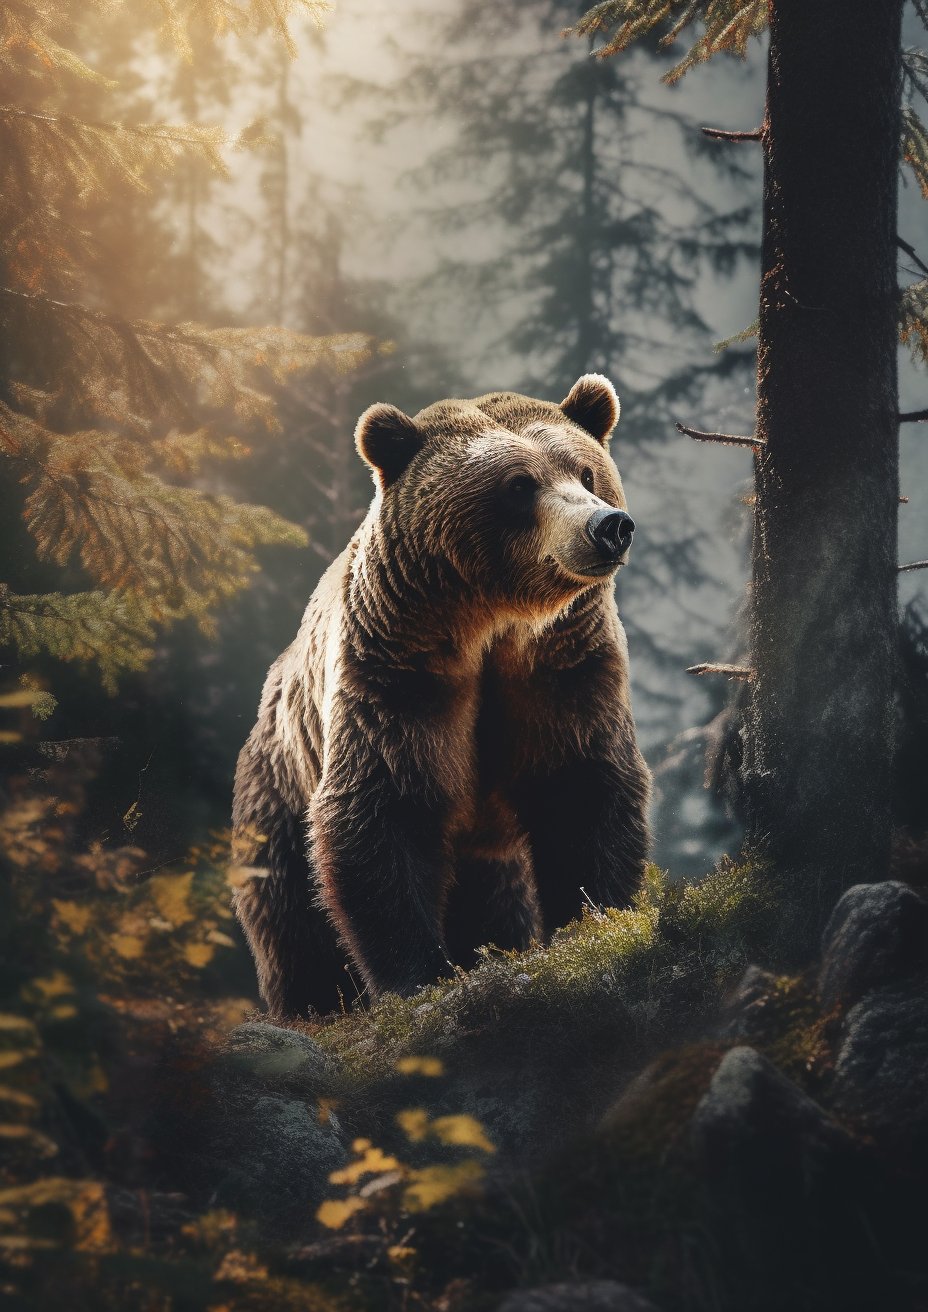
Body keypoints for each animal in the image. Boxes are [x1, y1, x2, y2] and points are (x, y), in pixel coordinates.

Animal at [231, 374, 651, 1019]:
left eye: (586, 472)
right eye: (519, 484)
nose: (608, 526)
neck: (494, 626)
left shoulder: (564, 666)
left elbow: (583, 786)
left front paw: (596, 919)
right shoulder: (399, 670)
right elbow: (385, 807)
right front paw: (419, 976)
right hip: (276, 798)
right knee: (294, 930)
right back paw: (313, 1005)